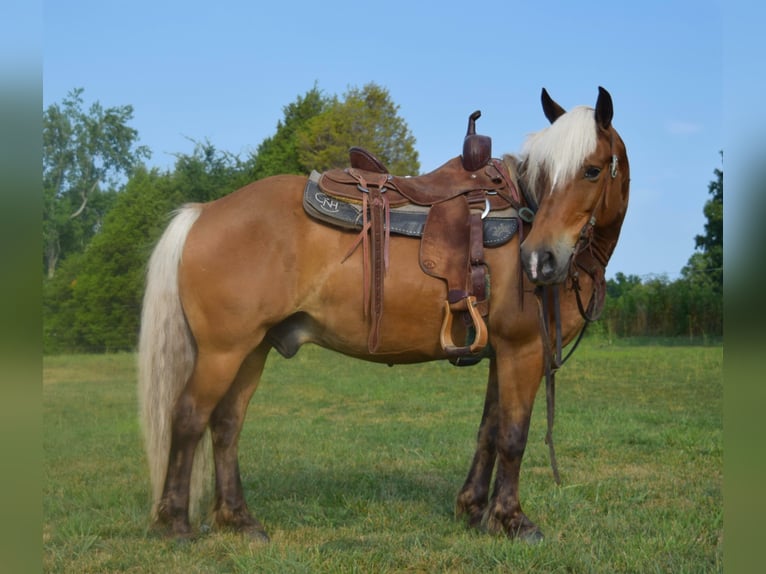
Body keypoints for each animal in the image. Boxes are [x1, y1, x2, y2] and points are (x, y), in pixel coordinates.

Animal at [136, 86, 632, 544]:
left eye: (591, 170)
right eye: (545, 174)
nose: (539, 259)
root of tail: (204, 212)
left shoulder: (500, 353)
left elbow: (488, 431)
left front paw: (474, 509)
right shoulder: (522, 351)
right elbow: (513, 434)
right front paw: (513, 520)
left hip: (252, 349)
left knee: (226, 425)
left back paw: (238, 519)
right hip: (222, 352)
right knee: (188, 417)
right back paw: (175, 522)